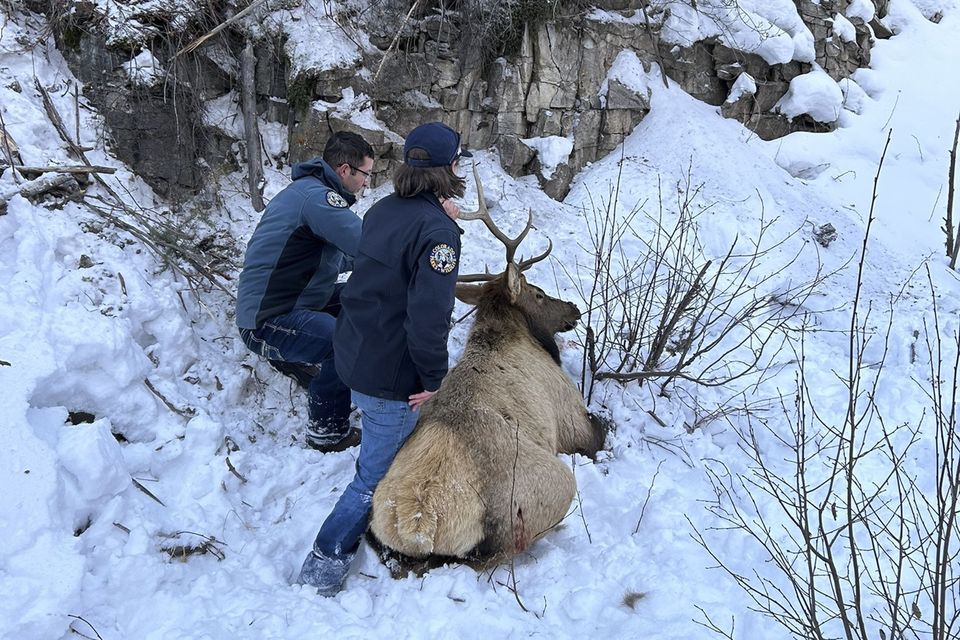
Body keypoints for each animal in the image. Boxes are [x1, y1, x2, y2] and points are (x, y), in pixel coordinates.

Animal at [370, 168, 608, 568]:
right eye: (539, 293)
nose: (574, 309)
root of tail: (419, 524)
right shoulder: (571, 415)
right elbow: (601, 430)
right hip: (553, 486)